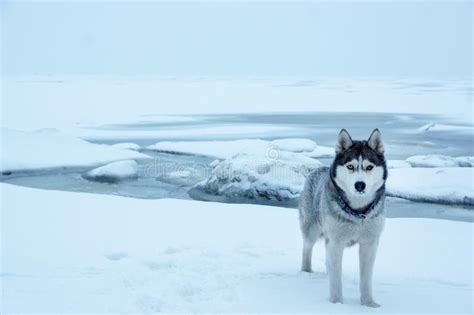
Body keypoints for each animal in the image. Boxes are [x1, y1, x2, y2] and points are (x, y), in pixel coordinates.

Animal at [298, 128, 386, 308]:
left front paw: (369, 304)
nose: (360, 185)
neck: (358, 213)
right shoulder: (335, 242)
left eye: (369, 167)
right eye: (350, 166)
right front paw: (336, 304)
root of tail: (317, 169)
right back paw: (306, 272)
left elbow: (366, 278)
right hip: (311, 231)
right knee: (307, 249)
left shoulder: (370, 243)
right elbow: (336, 279)